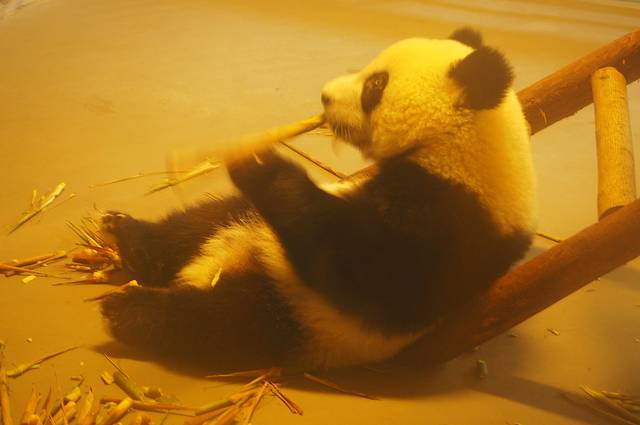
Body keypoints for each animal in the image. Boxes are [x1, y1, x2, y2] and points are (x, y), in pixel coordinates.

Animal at [100, 28, 536, 372]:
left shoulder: (453, 221)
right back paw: (128, 236)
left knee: (218, 323)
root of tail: (210, 268)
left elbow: (356, 266)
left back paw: (128, 311)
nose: (325, 96)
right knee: (198, 223)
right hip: (244, 222)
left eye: (375, 86)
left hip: (299, 319)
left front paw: (259, 161)